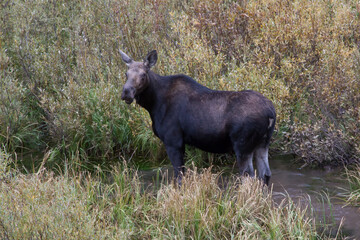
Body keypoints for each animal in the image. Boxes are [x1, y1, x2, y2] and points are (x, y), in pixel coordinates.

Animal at [120, 49, 276, 186]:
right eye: (126, 74)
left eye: (143, 75)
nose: (126, 92)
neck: (153, 103)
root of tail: (271, 112)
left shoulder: (173, 141)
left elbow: (179, 177)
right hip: (263, 143)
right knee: (265, 174)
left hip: (243, 145)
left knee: (249, 177)